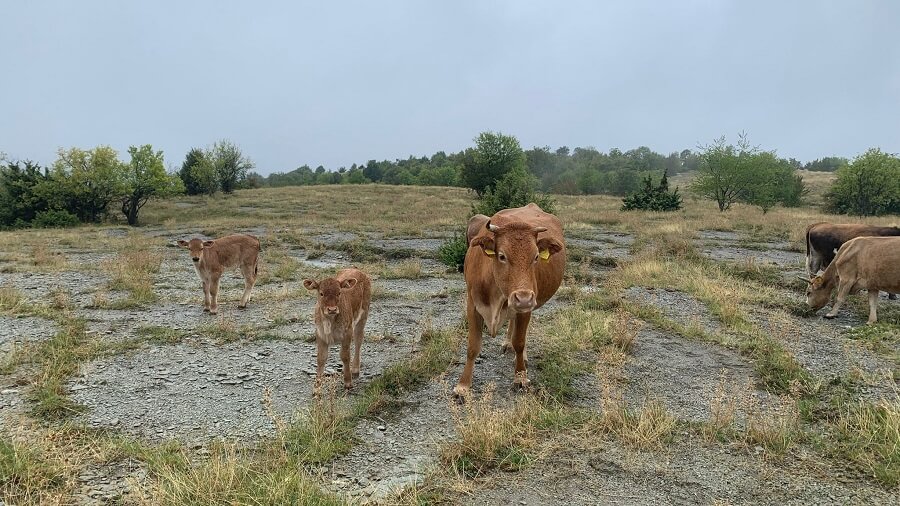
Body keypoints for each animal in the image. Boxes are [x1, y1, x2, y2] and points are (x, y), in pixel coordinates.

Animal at [454, 203, 568, 400]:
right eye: (502, 256)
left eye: (536, 257)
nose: (523, 298)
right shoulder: (472, 304)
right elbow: (473, 346)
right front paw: (463, 385)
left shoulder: (527, 306)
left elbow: (520, 342)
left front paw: (520, 378)